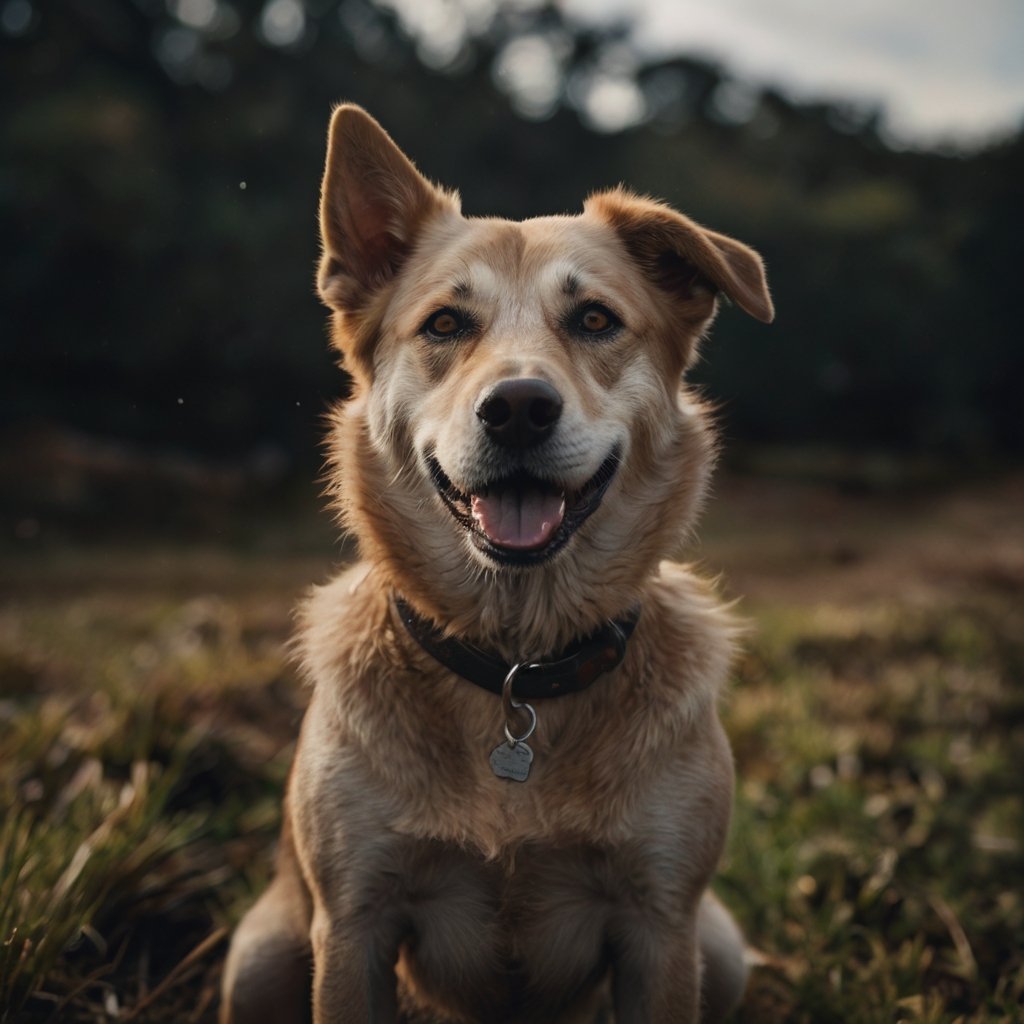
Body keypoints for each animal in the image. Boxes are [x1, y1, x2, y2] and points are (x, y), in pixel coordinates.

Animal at [220, 105, 770, 1024]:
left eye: (595, 320)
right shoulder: (354, 922)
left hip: (720, 951)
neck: (517, 663)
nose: (517, 408)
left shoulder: (661, 925)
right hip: (259, 958)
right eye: (445, 324)